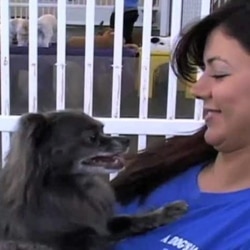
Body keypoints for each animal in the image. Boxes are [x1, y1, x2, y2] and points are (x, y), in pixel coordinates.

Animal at [0, 110, 188, 249]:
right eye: (92, 138)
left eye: (102, 129)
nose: (127, 139)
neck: (74, 187)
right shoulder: (80, 241)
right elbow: (111, 235)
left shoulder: (101, 224)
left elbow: (128, 220)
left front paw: (166, 211)